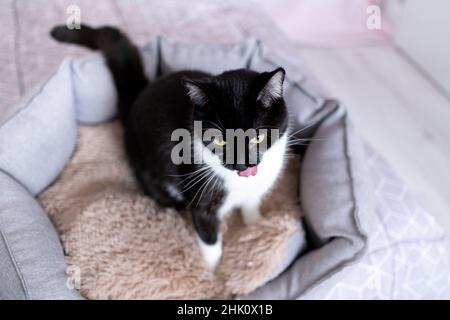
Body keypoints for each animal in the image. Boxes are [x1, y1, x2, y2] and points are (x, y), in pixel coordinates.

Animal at [51, 25, 290, 268]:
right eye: (219, 140)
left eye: (257, 137)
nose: (241, 165)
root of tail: (139, 96)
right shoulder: (200, 193)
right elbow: (209, 238)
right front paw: (213, 272)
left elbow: (252, 206)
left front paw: (256, 225)